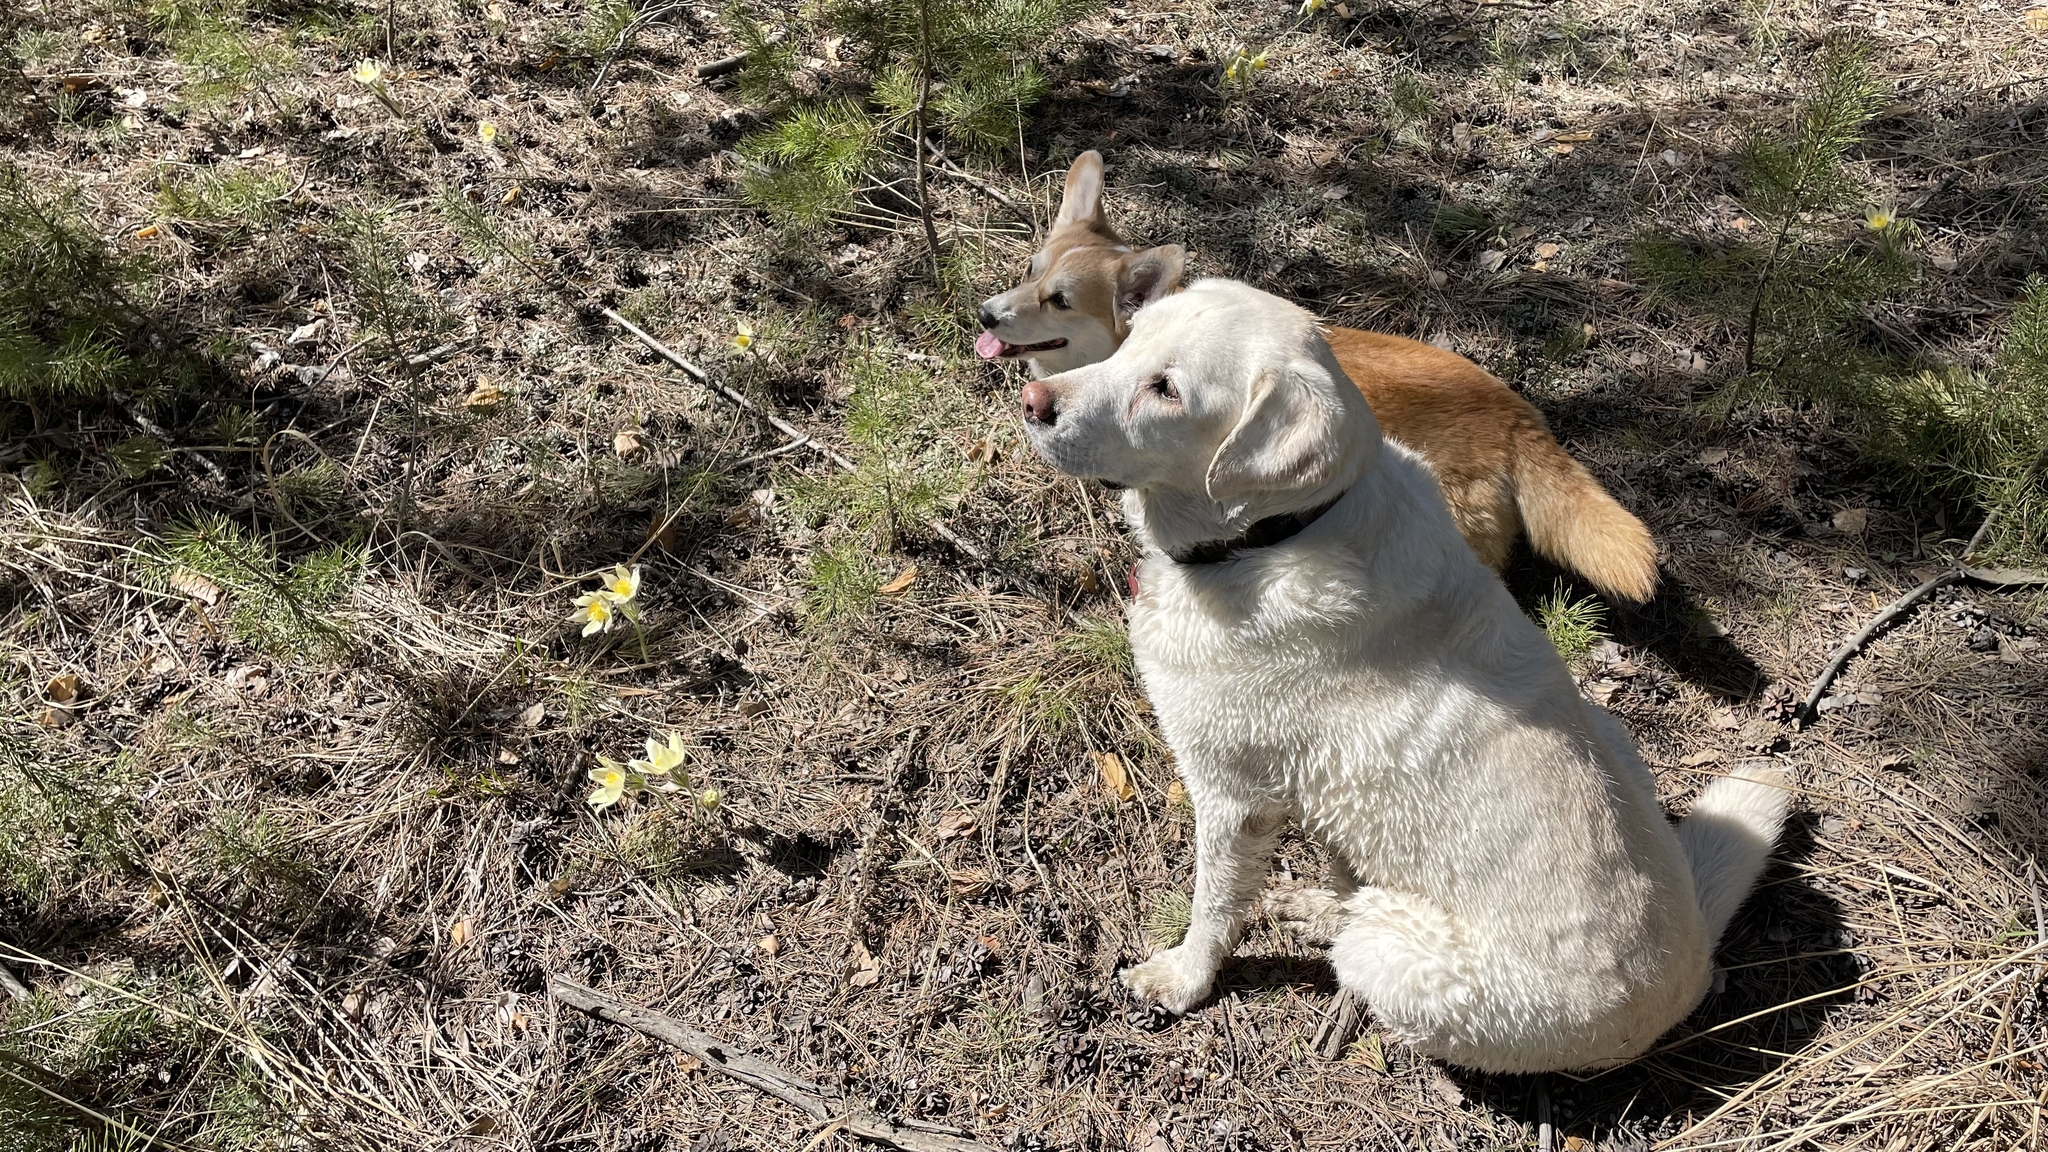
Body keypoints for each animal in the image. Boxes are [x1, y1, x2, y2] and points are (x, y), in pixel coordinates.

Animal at [1015, 278, 1785, 1065]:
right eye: (1131, 337)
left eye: (1166, 389)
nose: (1031, 400)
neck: (1277, 533)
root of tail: (1692, 965)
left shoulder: (1233, 795)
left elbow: (1213, 906)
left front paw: (1182, 980)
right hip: (1606, 733)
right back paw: (1316, 905)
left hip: (1402, 960)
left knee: (1366, 943)